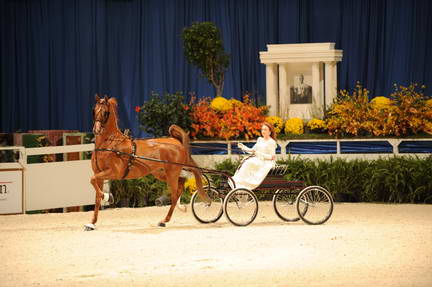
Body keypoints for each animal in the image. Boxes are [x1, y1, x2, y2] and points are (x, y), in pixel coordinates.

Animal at [85, 94, 208, 232]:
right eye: (94, 110)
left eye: (105, 112)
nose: (96, 130)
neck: (110, 144)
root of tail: (176, 141)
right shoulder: (100, 174)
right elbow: (96, 196)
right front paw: (91, 223)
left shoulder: (114, 172)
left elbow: (93, 181)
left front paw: (108, 197)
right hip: (162, 174)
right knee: (181, 183)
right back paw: (180, 208)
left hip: (172, 173)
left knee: (174, 194)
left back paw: (164, 220)